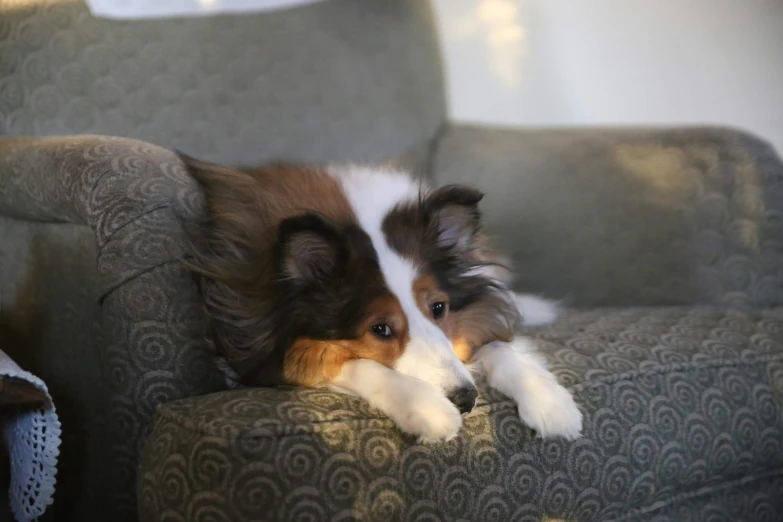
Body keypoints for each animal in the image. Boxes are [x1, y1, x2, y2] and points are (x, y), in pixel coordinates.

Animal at [179, 156, 580, 440]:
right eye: (380, 329)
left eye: (439, 308)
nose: (466, 400)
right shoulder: (267, 352)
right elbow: (353, 363)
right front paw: (428, 408)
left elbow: (495, 344)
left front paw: (551, 403)